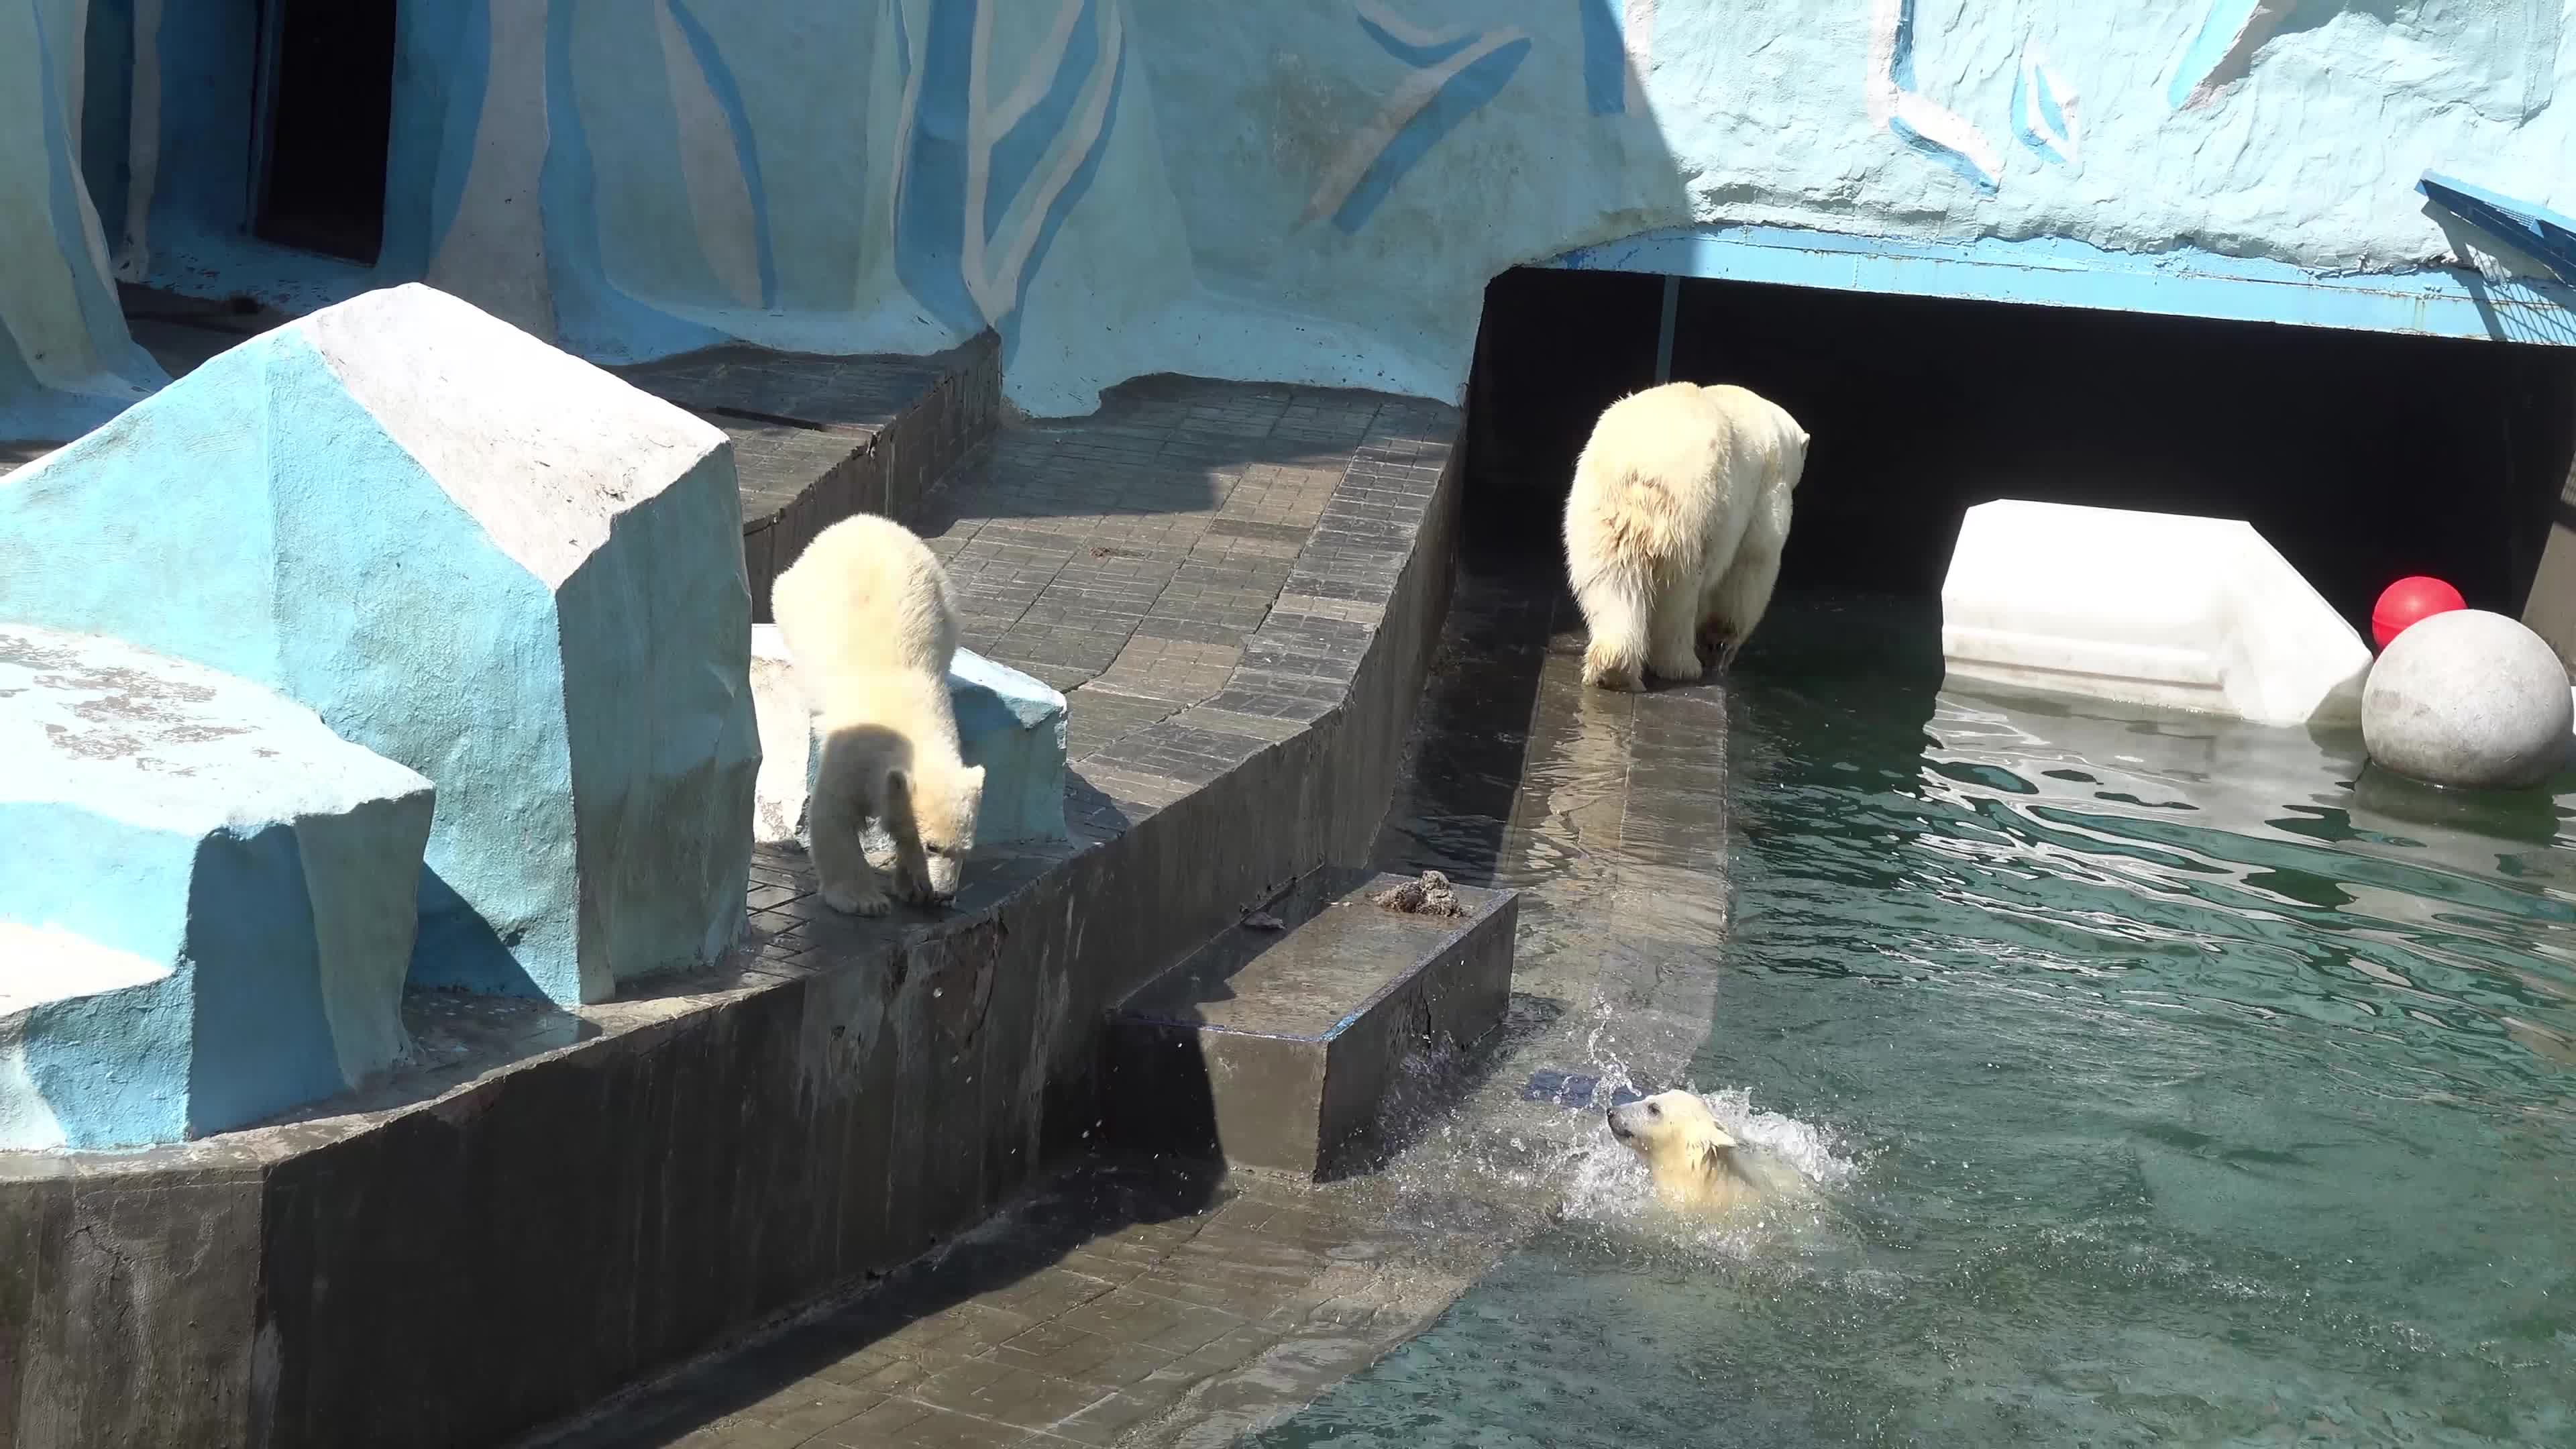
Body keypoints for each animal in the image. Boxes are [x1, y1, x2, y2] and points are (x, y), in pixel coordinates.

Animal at [767, 510, 979, 912]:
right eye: (932, 845)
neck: (912, 721)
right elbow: (833, 811)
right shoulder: (854, 748)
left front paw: (910, 886)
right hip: (796, 595)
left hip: (946, 596)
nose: (946, 895)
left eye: (965, 850)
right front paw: (863, 900)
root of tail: (864, 520)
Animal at [1546, 381, 1813, 691]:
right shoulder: (1768, 486)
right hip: (1692, 514)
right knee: (1679, 592)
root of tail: (1642, 469)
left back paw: (1613, 670)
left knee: (1610, 580)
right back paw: (1681, 667)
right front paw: (1719, 648)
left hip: (1596, 512)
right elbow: (1752, 562)